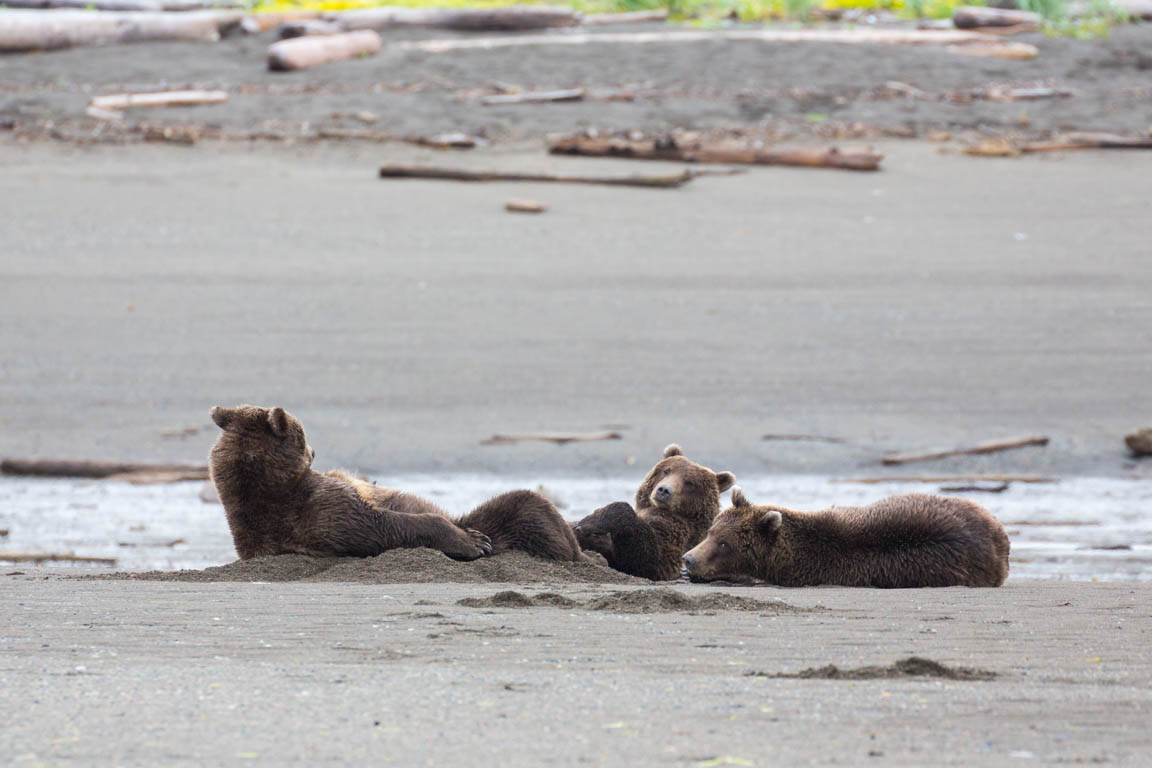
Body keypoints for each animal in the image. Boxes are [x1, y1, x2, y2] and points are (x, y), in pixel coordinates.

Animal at [209, 407, 585, 564]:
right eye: (303, 433)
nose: (315, 451)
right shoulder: (320, 515)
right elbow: (387, 525)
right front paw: (474, 542)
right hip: (511, 519)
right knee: (528, 509)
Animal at [569, 446, 737, 580]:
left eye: (689, 482)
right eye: (666, 471)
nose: (664, 490)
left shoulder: (675, 534)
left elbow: (644, 560)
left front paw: (587, 524)